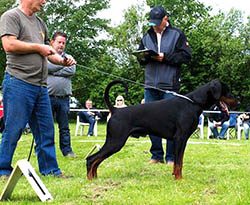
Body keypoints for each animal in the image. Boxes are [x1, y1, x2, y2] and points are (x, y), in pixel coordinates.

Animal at [87, 79, 238, 180]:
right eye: (228, 91)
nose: (239, 102)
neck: (193, 103)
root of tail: (116, 110)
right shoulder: (180, 138)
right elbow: (178, 162)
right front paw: (179, 180)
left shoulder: (182, 140)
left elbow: (179, 161)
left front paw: (176, 176)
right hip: (116, 141)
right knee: (91, 158)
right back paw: (90, 179)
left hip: (114, 142)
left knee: (96, 160)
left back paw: (95, 178)